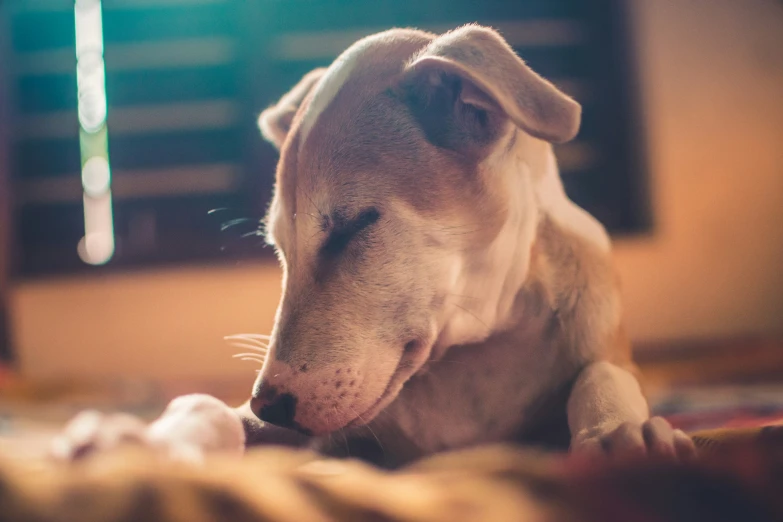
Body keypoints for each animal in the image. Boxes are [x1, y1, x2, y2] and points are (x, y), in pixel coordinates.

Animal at [52, 24, 696, 466]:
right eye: (278, 248)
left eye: (352, 227)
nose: (268, 404)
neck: (470, 356)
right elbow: (209, 408)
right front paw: (136, 438)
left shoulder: (604, 347)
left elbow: (603, 375)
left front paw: (619, 434)